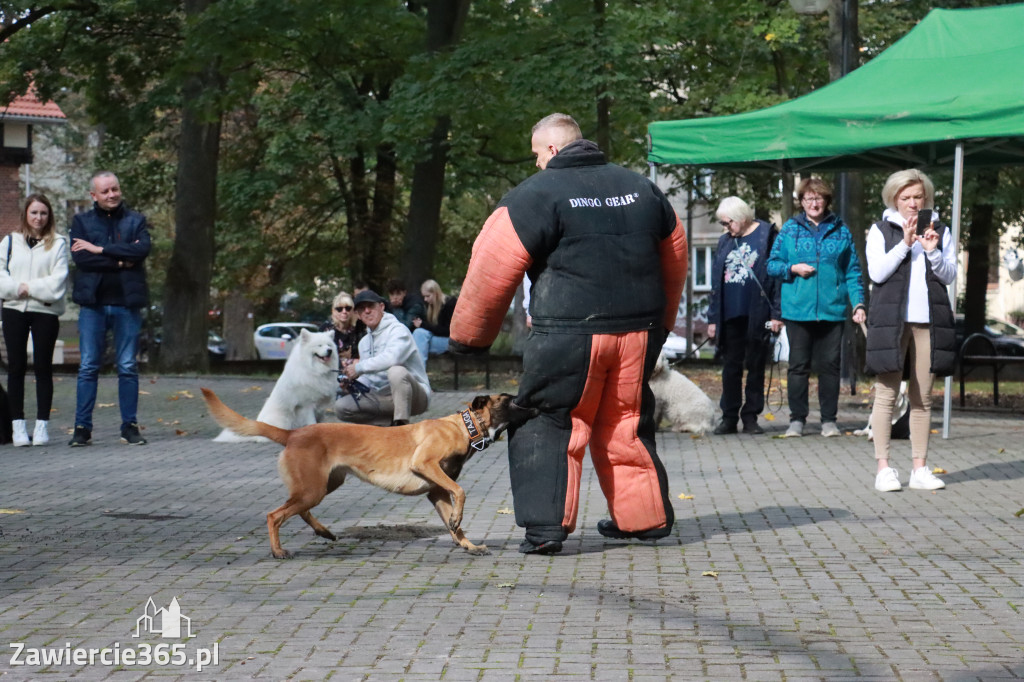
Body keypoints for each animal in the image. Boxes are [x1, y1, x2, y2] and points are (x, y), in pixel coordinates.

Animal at [199, 387, 536, 557]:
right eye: (510, 401)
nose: (536, 406)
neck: (465, 427)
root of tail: (293, 433)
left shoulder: (437, 491)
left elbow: (456, 523)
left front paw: (466, 544)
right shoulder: (425, 466)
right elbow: (461, 493)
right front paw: (458, 525)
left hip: (321, 486)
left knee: (297, 510)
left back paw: (323, 531)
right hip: (313, 488)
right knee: (275, 515)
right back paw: (278, 551)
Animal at [211, 327, 339, 444]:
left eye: (329, 345)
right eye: (319, 345)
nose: (329, 351)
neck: (315, 370)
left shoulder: (319, 407)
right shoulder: (306, 405)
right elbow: (312, 422)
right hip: (283, 419)